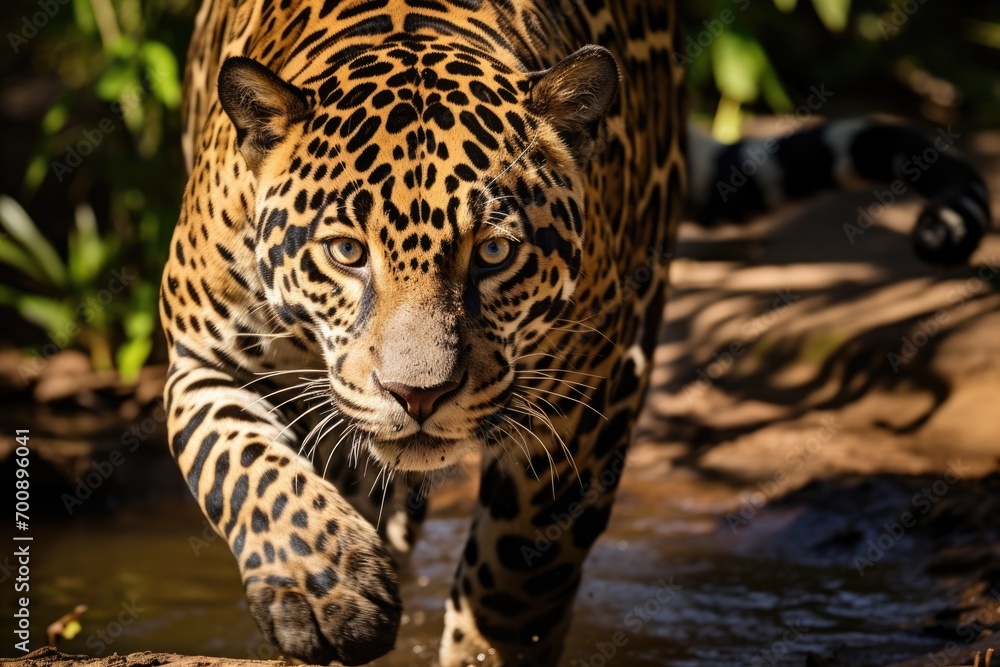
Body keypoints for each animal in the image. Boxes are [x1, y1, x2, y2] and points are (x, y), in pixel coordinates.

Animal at [161, 0, 991, 665]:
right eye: (344, 252)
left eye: (494, 253)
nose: (417, 395)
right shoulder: (201, 360)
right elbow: (244, 467)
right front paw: (326, 595)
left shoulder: (590, 393)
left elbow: (517, 581)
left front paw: (480, 650)